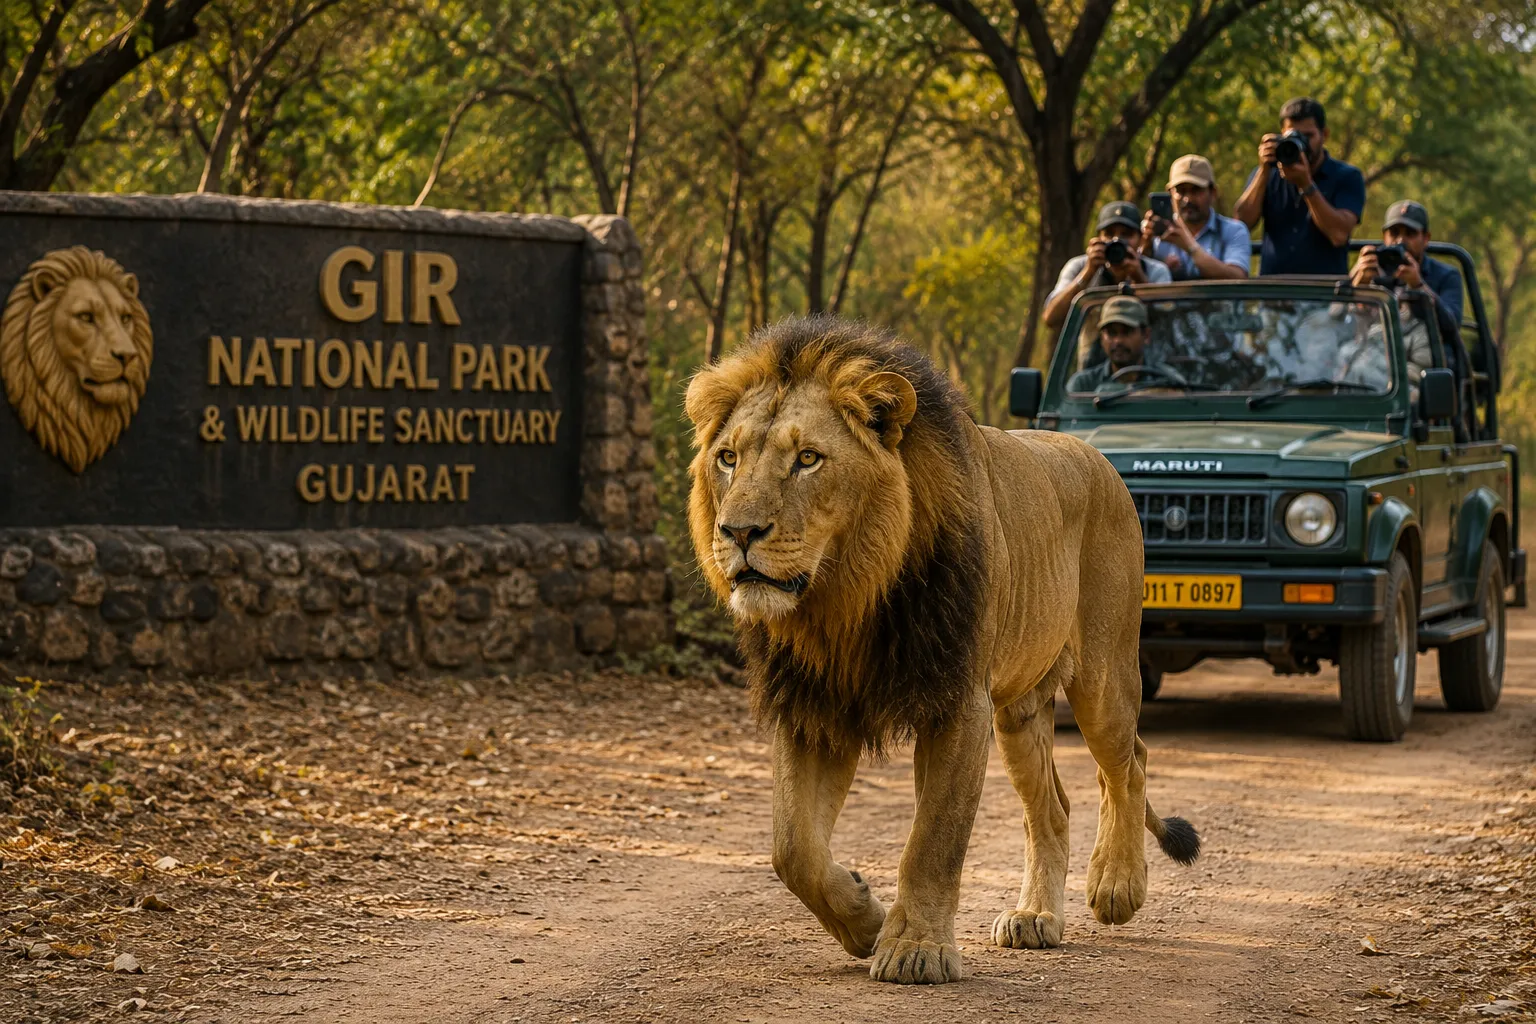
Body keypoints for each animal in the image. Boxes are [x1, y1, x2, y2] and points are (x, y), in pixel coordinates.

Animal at [685, 316, 1200, 985]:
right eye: (728, 458)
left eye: (808, 459)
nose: (738, 532)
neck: (848, 602)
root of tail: (1099, 460)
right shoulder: (815, 707)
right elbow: (792, 848)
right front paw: (866, 920)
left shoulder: (956, 701)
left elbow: (933, 838)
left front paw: (915, 949)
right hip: (1019, 712)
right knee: (1053, 808)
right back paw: (1036, 917)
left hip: (1103, 677)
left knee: (1128, 763)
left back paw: (1116, 885)